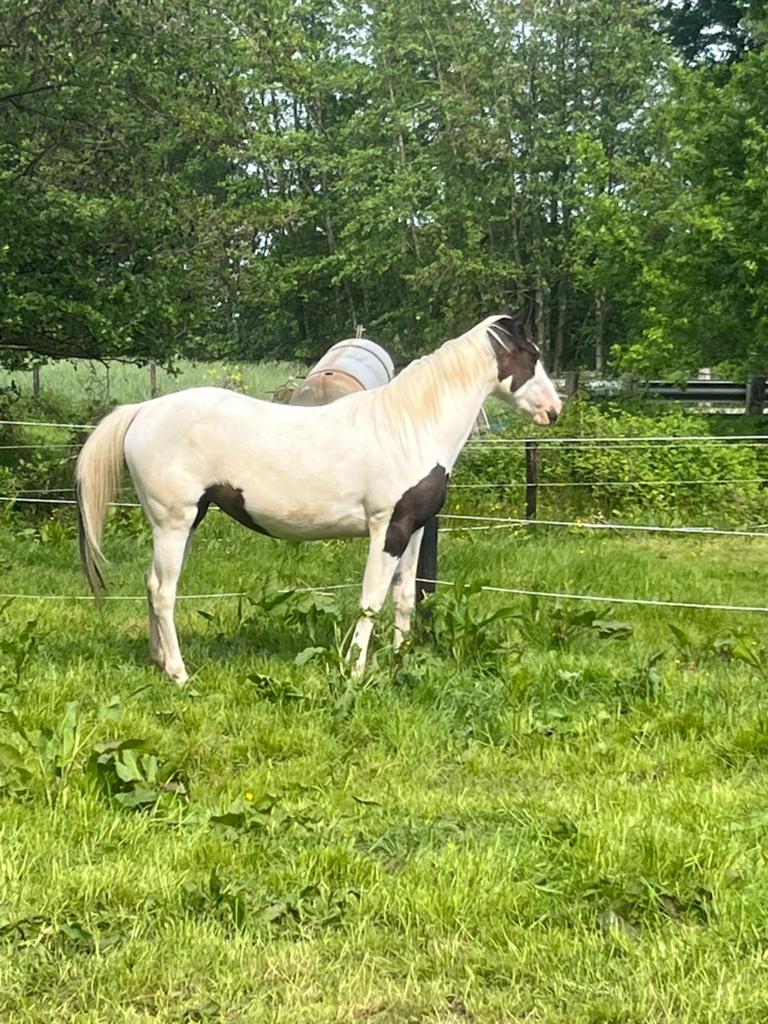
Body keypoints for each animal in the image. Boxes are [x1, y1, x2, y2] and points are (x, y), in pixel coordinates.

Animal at [76, 312, 561, 683]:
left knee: (151, 583)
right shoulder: (388, 528)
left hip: (184, 521)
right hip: (174, 521)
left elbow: (404, 597)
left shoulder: (415, 529)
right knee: (164, 590)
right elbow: (371, 600)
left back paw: (159, 661)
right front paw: (355, 670)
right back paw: (178, 673)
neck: (410, 426)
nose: (554, 410)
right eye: (532, 356)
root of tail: (143, 410)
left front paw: (399, 661)